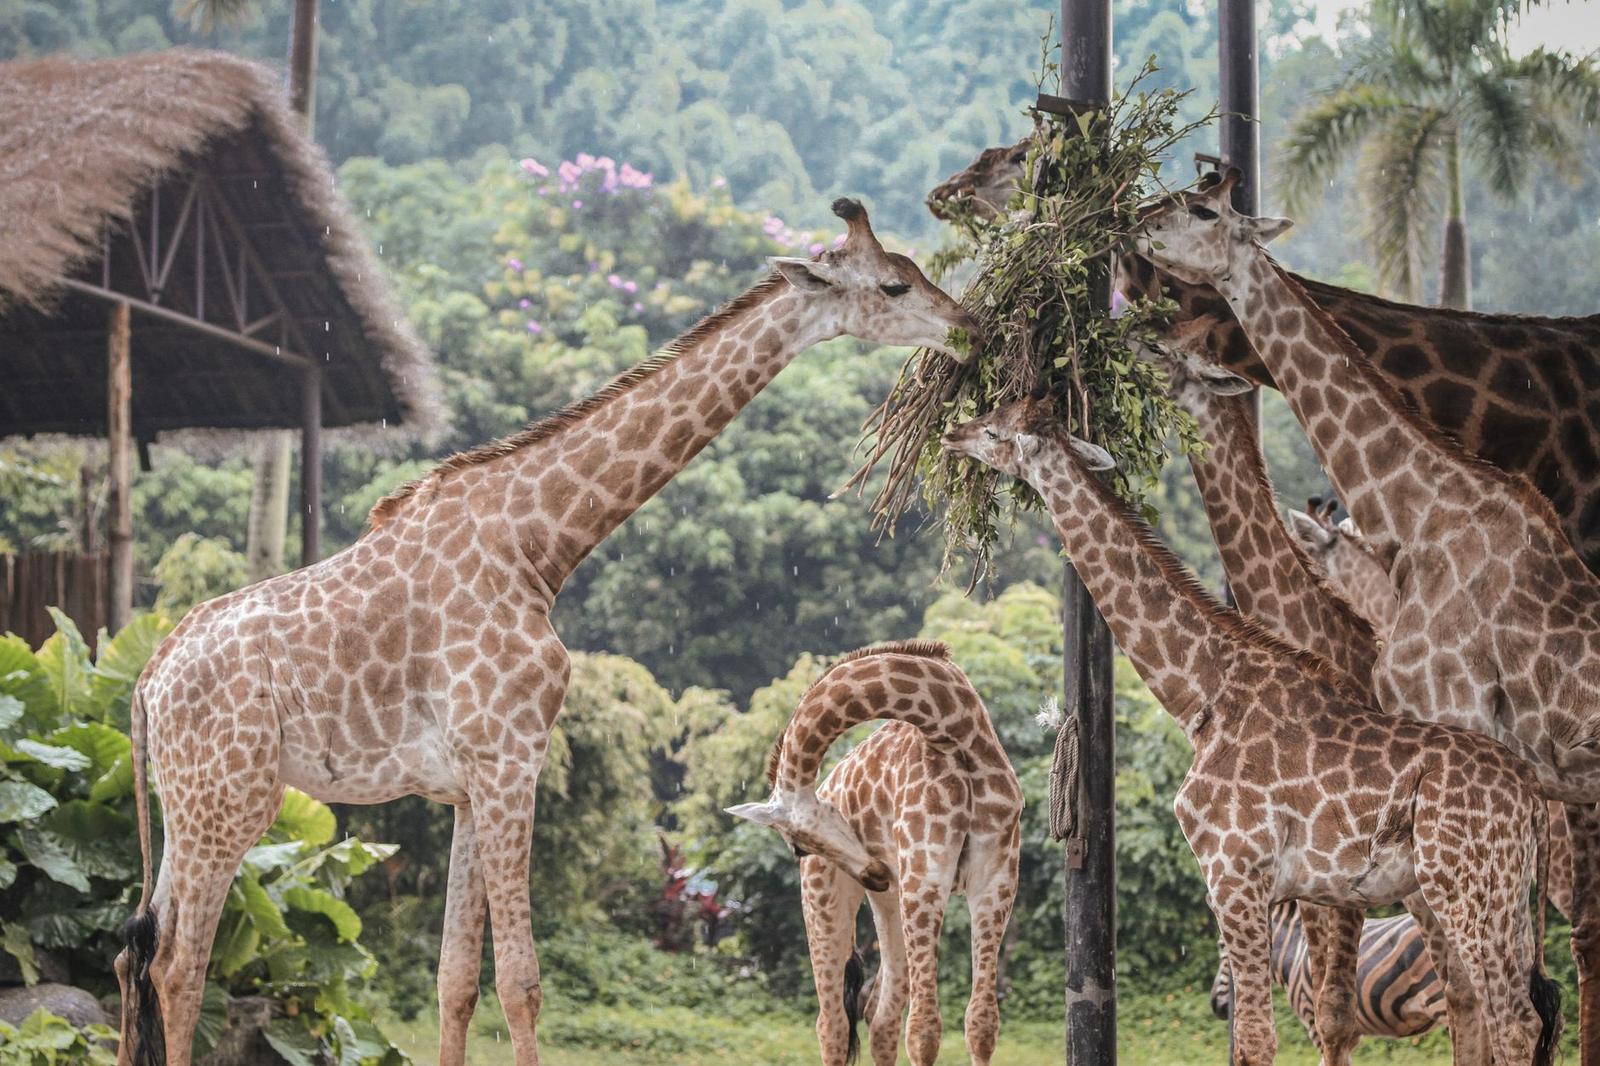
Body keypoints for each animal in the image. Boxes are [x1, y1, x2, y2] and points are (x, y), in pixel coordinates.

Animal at [113, 199, 979, 1066]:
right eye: (894, 283)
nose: (969, 329)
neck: (539, 545)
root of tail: (146, 684)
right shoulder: (510, 761)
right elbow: (521, 982)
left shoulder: (465, 785)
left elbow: (456, 979)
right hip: (233, 799)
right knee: (182, 966)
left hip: (188, 802)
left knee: (137, 953)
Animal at [727, 641, 1022, 1066]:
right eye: (798, 850)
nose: (877, 873)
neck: (954, 727)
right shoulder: (926, 877)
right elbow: (924, 1029)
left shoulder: (996, 878)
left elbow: (981, 1023)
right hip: (828, 899)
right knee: (834, 1022)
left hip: (893, 904)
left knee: (880, 1015)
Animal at [941, 396, 1563, 1066]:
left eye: (995, 430)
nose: (952, 432)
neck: (1201, 695)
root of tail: (1533, 800)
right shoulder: (1259, 885)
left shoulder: (1234, 871)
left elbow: (1259, 1039)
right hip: (1501, 897)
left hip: (1468, 889)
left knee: (1514, 1022)